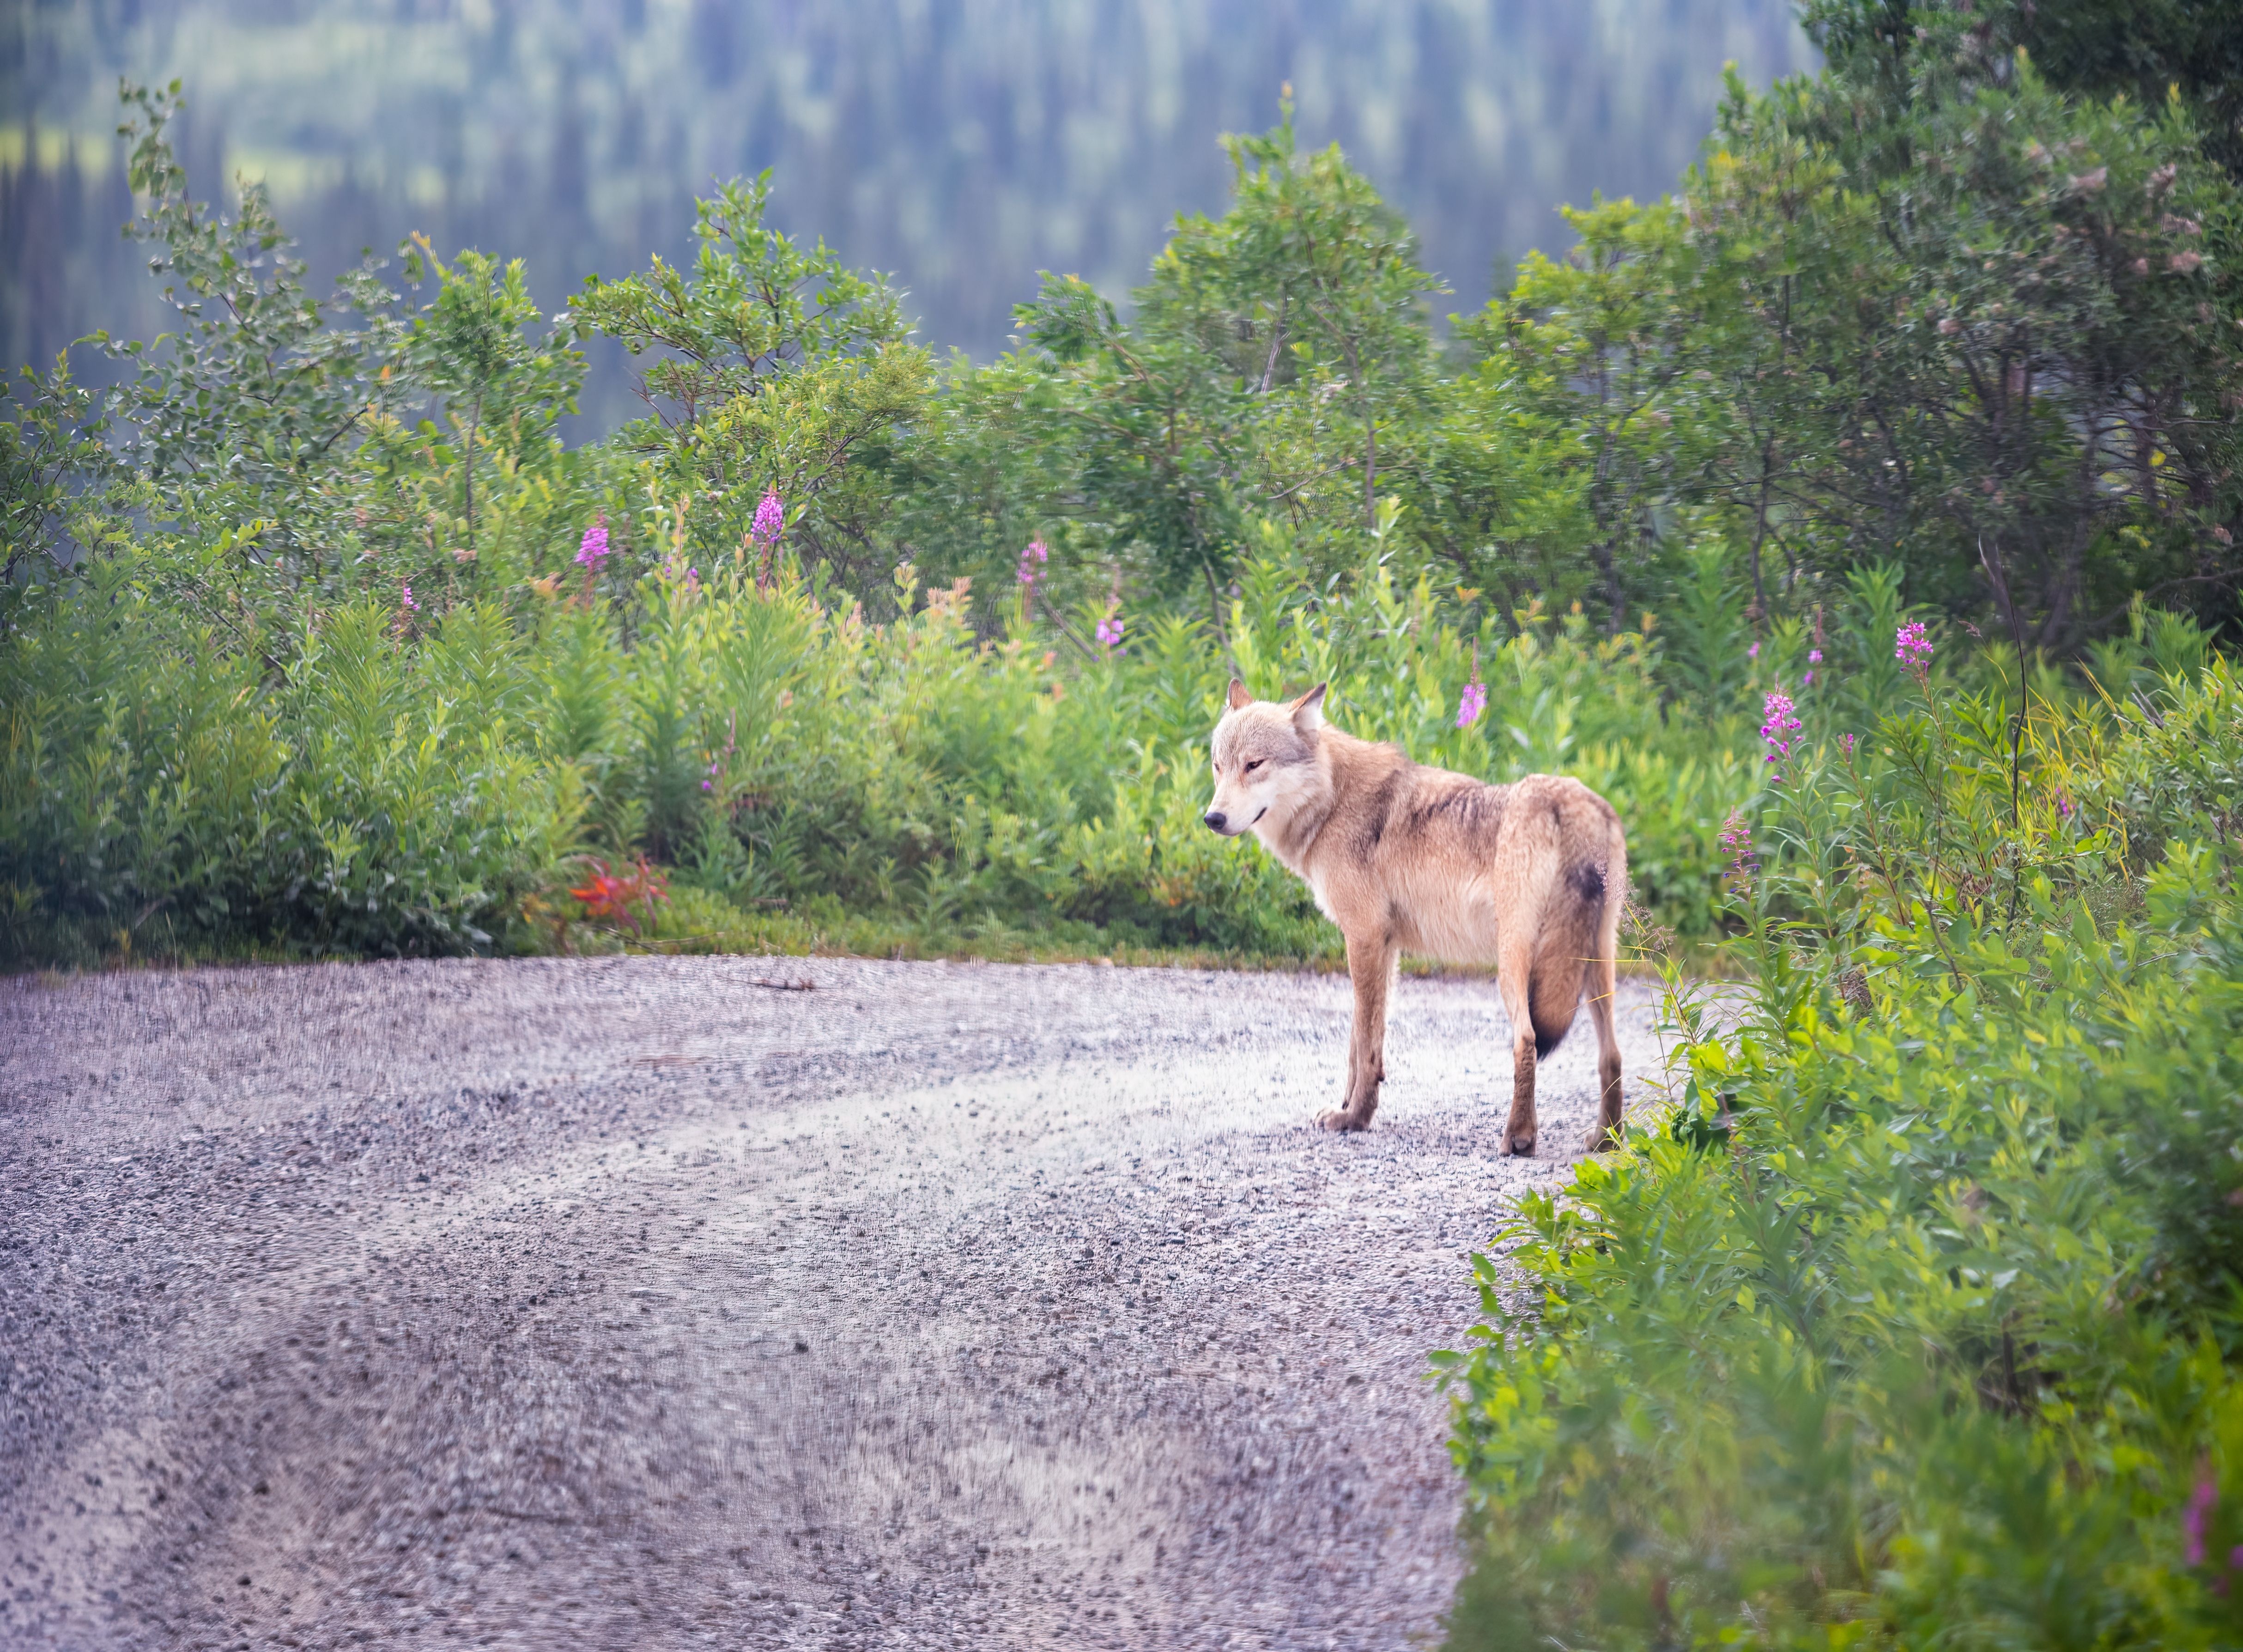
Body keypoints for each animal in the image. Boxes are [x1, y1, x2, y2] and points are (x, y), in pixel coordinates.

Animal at [1203, 680, 1627, 1155]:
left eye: (1254, 764)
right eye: (1219, 767)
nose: (1212, 818)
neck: (1332, 801)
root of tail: (1572, 804)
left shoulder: (1364, 939)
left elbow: (1364, 1044)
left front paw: (1354, 1119)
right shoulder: (1384, 948)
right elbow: (1361, 1043)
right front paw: (1348, 1109)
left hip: (1513, 966)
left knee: (1528, 1041)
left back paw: (1518, 1139)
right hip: (1596, 968)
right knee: (1612, 1056)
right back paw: (1605, 1140)